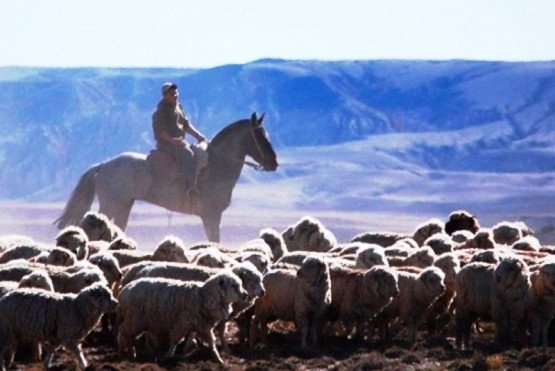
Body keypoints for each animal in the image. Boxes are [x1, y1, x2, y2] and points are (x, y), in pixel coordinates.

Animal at [54, 112, 278, 243]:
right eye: (260, 136)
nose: (274, 163)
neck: (216, 166)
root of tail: (103, 165)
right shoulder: (211, 216)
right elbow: (215, 241)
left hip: (124, 206)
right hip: (110, 206)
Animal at [117, 272, 248, 364]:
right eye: (233, 286)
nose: (246, 295)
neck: (204, 296)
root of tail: (123, 291)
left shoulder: (205, 327)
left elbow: (212, 343)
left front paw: (218, 359)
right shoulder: (182, 324)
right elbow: (175, 340)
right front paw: (168, 356)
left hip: (137, 321)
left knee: (128, 335)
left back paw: (131, 352)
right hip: (134, 319)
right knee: (123, 333)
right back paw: (124, 353)